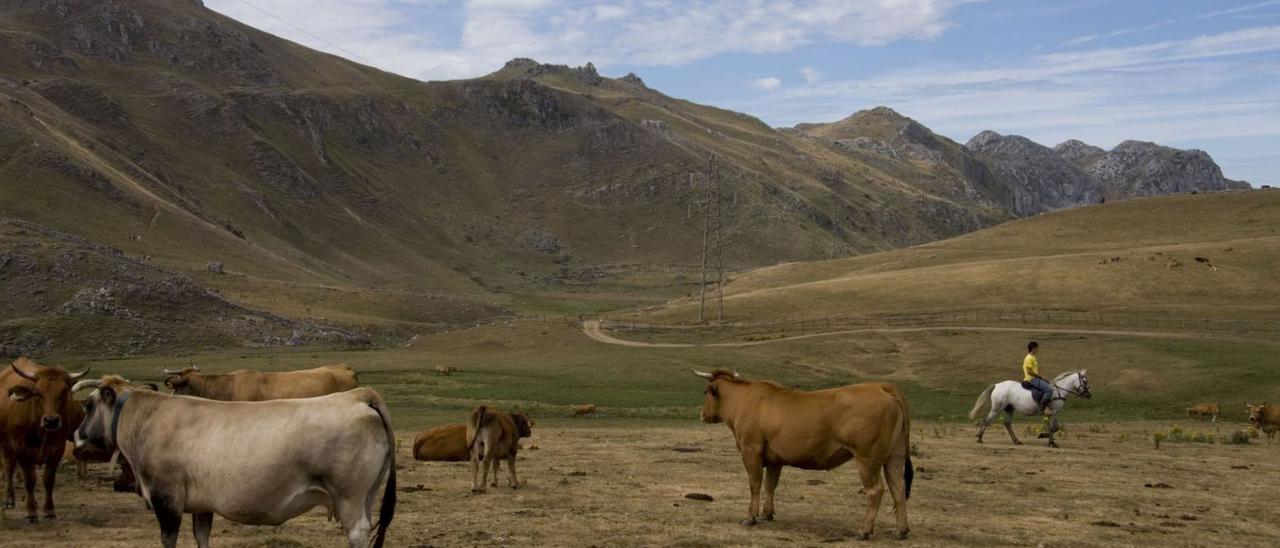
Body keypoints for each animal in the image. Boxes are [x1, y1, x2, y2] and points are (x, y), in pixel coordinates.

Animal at [0, 355, 89, 522]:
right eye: (38, 393)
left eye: (63, 394)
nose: (51, 420)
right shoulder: (22, 451)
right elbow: (30, 480)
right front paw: (31, 512)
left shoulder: (57, 451)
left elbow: (48, 480)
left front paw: (49, 511)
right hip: (5, 443)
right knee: (9, 466)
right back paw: (9, 499)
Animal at [696, 368, 916, 540]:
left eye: (706, 391)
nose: (702, 415)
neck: (744, 399)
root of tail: (881, 386)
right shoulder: (775, 459)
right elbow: (770, 485)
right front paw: (768, 513)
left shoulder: (751, 451)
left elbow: (755, 485)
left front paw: (751, 517)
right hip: (894, 458)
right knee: (898, 489)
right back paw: (901, 530)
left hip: (867, 459)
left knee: (875, 491)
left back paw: (864, 530)